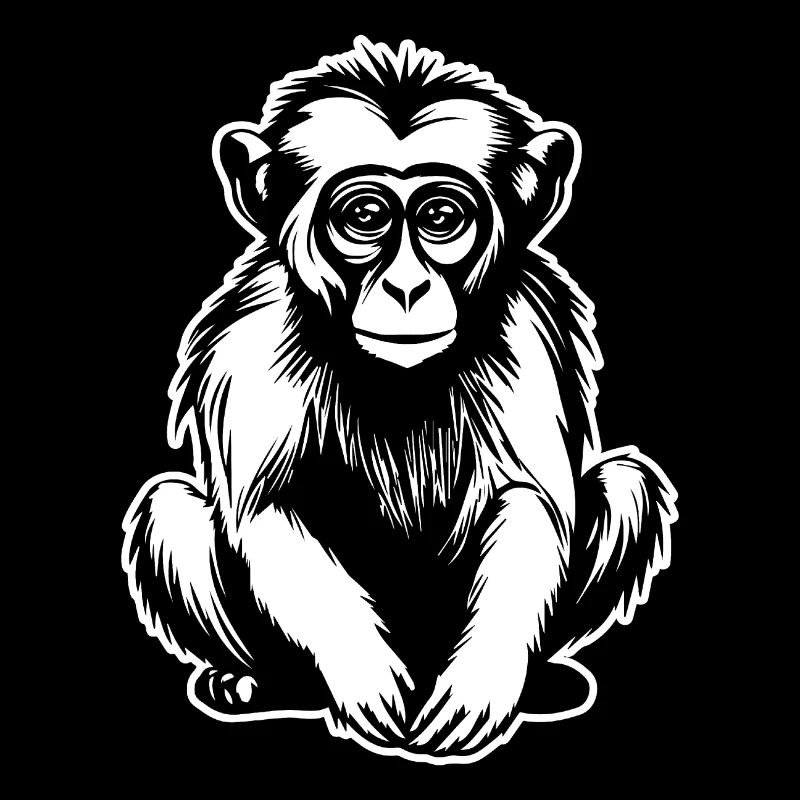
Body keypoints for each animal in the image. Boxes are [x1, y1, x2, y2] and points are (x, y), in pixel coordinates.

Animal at [122, 37, 677, 764]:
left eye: (441, 217)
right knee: (171, 510)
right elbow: (268, 506)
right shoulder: (257, 335)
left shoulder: (525, 325)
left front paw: (483, 680)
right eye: (365, 217)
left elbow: (535, 502)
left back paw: (544, 679)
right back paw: (255, 682)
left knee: (626, 481)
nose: (408, 287)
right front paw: (362, 670)